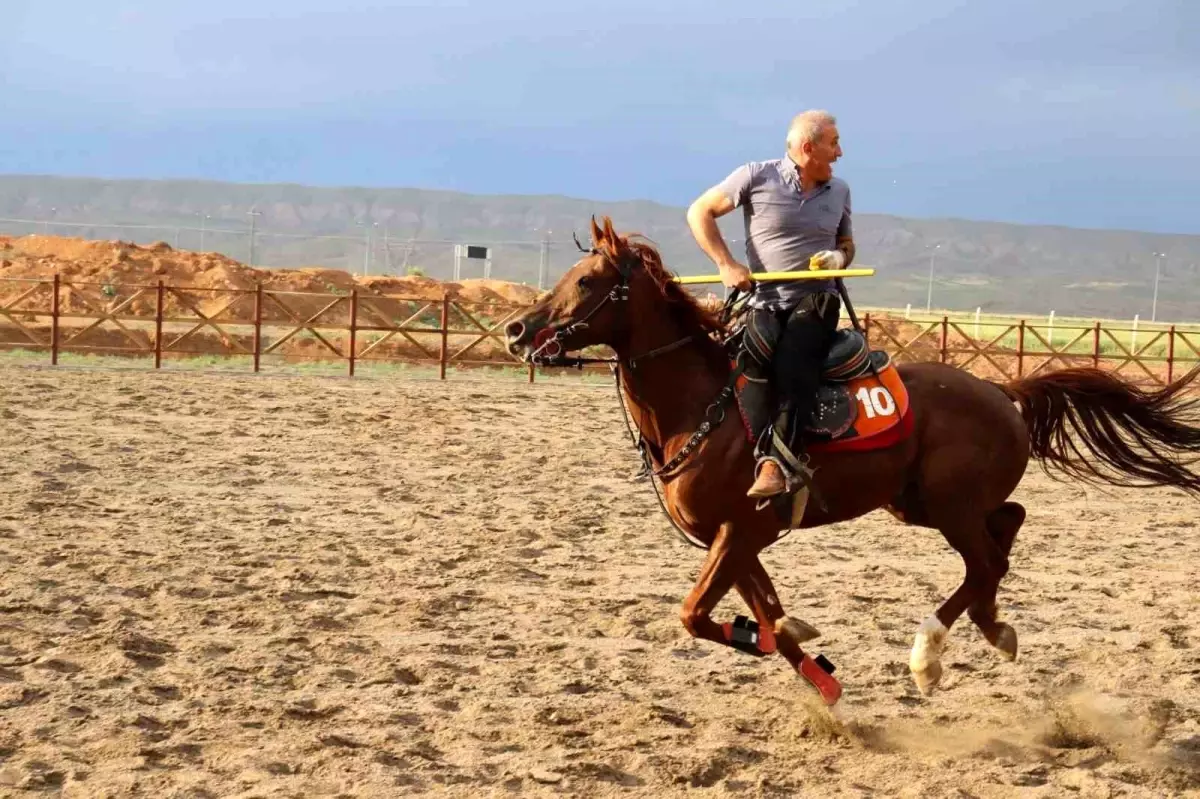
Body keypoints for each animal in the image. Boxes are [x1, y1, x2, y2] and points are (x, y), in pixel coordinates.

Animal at [501, 215, 1200, 705]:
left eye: (586, 282)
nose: (514, 330)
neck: (706, 407)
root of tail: (1002, 391)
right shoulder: (741, 540)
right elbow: (766, 611)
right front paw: (810, 666)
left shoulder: (738, 531)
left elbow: (697, 613)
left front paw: (773, 641)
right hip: (917, 504)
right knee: (1007, 531)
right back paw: (992, 627)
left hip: (948, 506)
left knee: (985, 559)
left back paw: (929, 654)